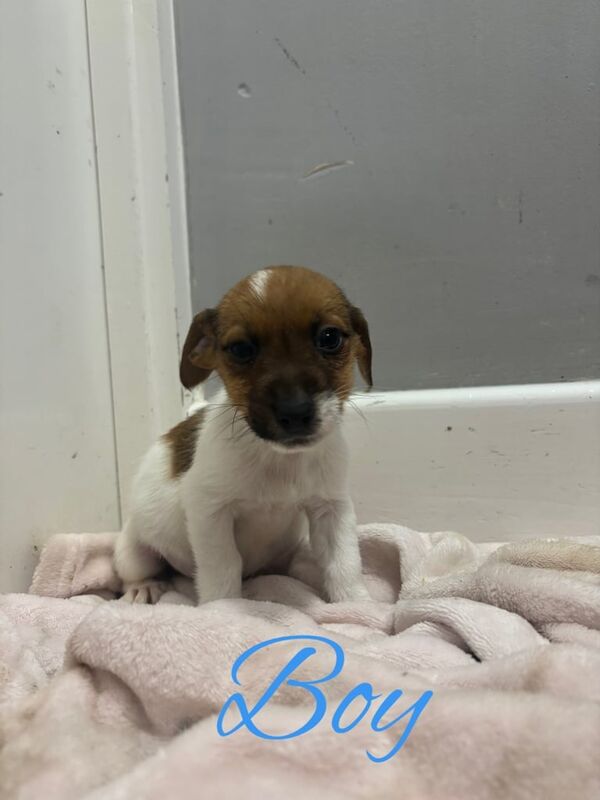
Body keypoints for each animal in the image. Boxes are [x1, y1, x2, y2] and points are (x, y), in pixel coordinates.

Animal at [113, 266, 370, 604]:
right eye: (241, 349)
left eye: (329, 337)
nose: (295, 411)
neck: (278, 459)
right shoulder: (210, 511)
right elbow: (223, 566)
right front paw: (222, 607)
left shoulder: (331, 508)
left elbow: (344, 563)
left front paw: (356, 604)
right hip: (132, 551)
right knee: (135, 572)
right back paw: (144, 587)